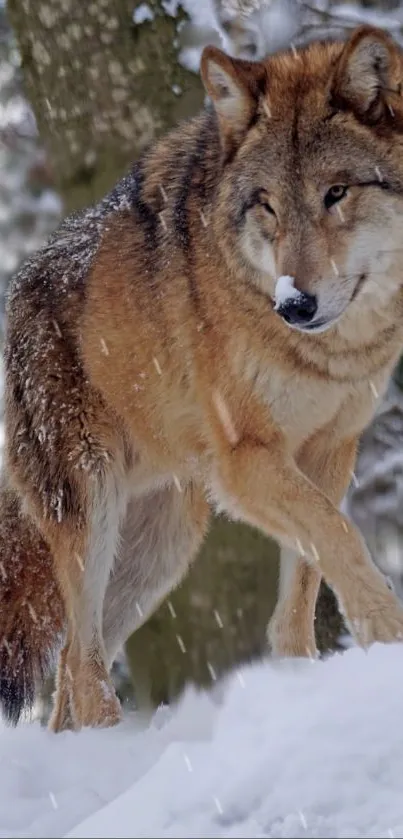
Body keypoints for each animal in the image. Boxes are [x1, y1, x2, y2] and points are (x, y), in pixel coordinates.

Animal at [0, 23, 403, 732]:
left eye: (336, 193)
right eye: (266, 205)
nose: (294, 304)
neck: (330, 353)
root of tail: (17, 289)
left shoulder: (330, 450)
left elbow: (305, 582)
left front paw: (301, 683)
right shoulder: (246, 460)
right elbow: (342, 537)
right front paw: (388, 640)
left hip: (162, 546)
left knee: (71, 673)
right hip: (92, 509)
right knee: (81, 664)